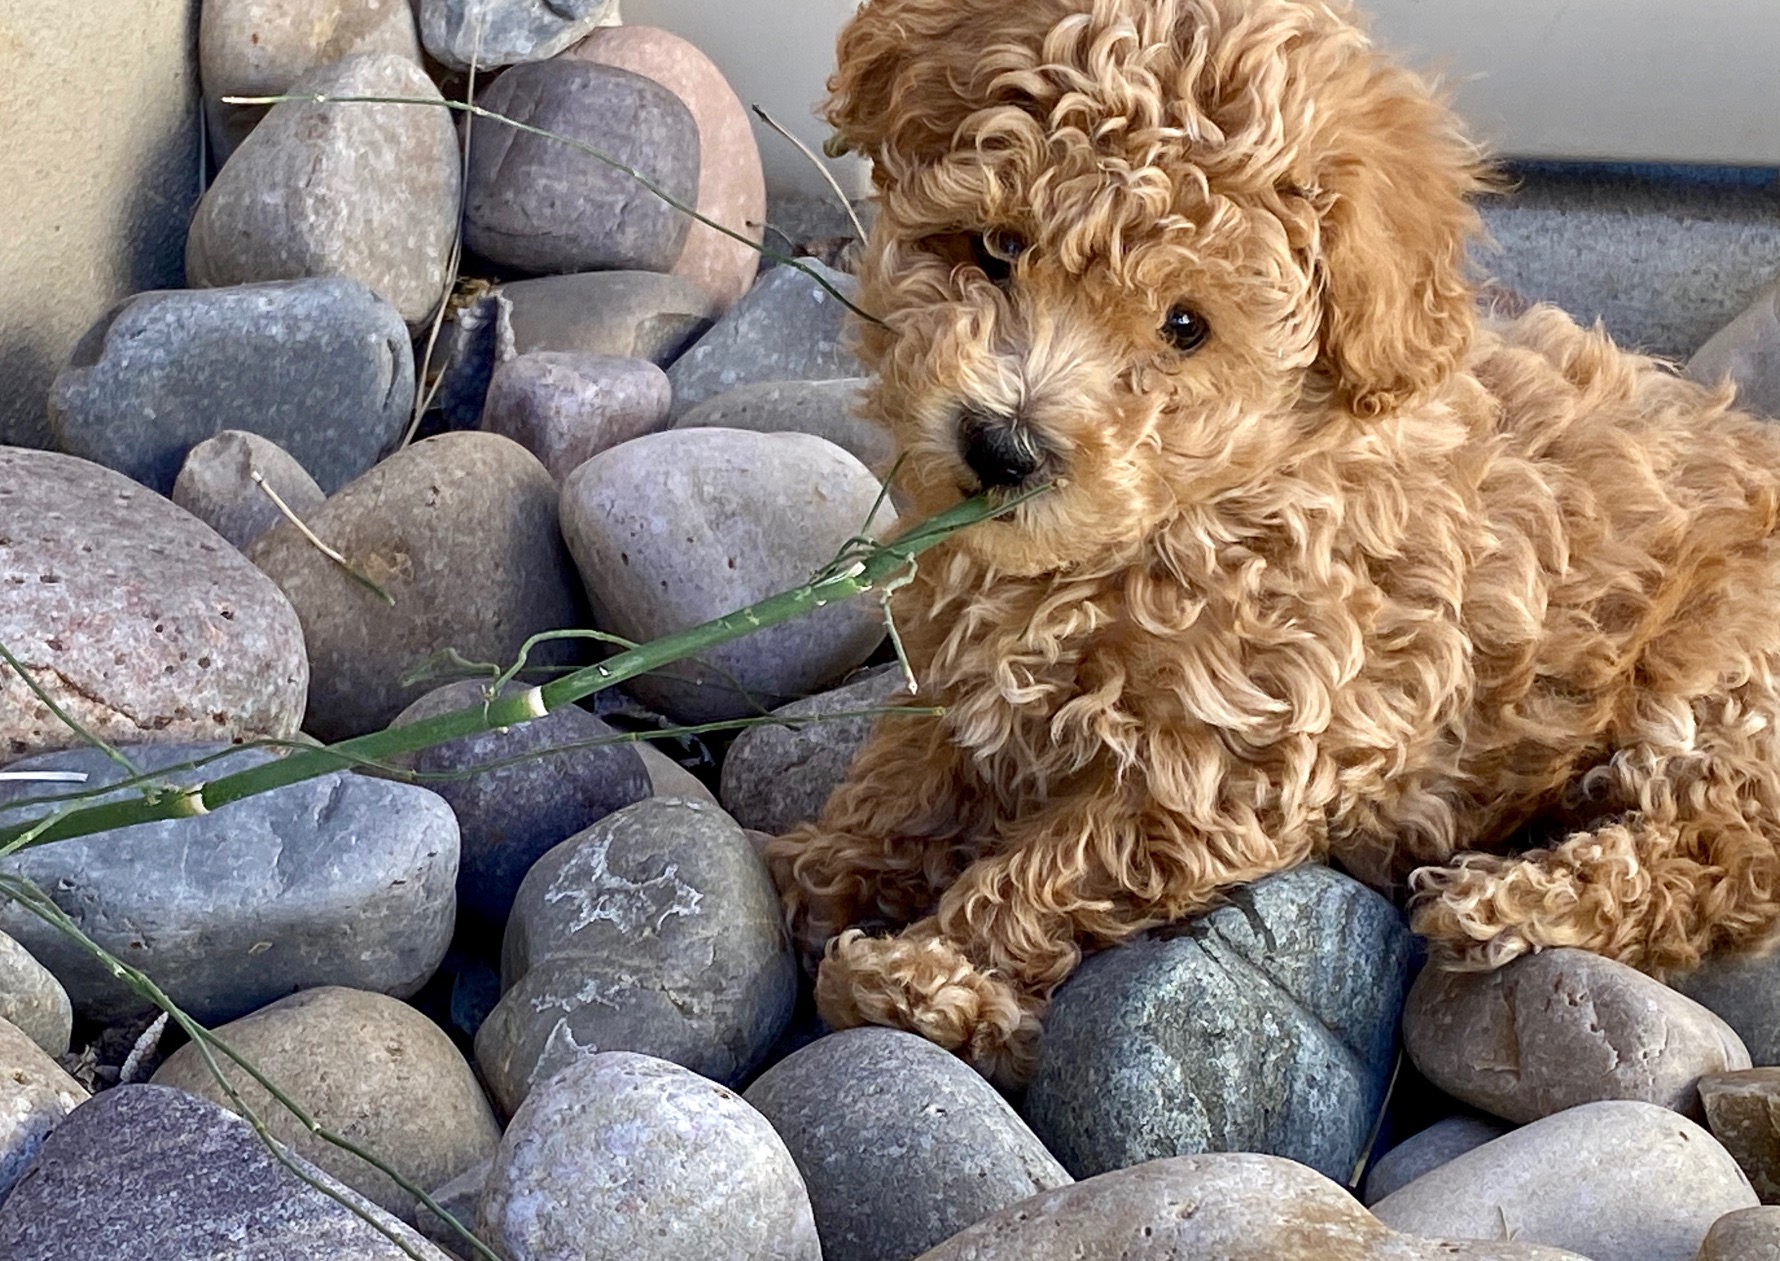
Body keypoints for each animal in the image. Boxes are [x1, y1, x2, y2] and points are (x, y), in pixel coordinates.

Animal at [761, 0, 1780, 1082]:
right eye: (996, 247)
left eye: (1184, 327)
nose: (1004, 446)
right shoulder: (960, 666)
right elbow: (905, 776)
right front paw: (821, 868)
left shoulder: (1233, 756)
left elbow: (1053, 866)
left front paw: (931, 978)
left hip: (1716, 688)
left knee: (1726, 852)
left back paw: (1516, 898)